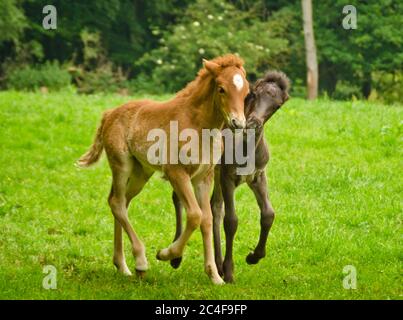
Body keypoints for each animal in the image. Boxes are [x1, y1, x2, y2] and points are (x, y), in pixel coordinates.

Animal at [77, 55, 249, 284]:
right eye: (221, 89)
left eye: (246, 91)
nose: (238, 123)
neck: (198, 125)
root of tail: (109, 114)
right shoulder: (176, 173)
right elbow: (194, 215)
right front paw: (166, 254)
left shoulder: (204, 177)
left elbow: (207, 219)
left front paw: (214, 276)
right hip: (121, 165)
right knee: (116, 202)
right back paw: (140, 261)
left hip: (141, 173)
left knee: (122, 202)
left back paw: (122, 265)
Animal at [170, 70, 290, 282]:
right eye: (254, 95)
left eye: (277, 105)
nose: (253, 123)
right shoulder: (228, 177)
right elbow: (231, 221)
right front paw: (229, 271)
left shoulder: (257, 176)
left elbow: (268, 214)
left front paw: (253, 257)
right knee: (178, 197)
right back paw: (177, 258)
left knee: (214, 207)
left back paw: (216, 265)